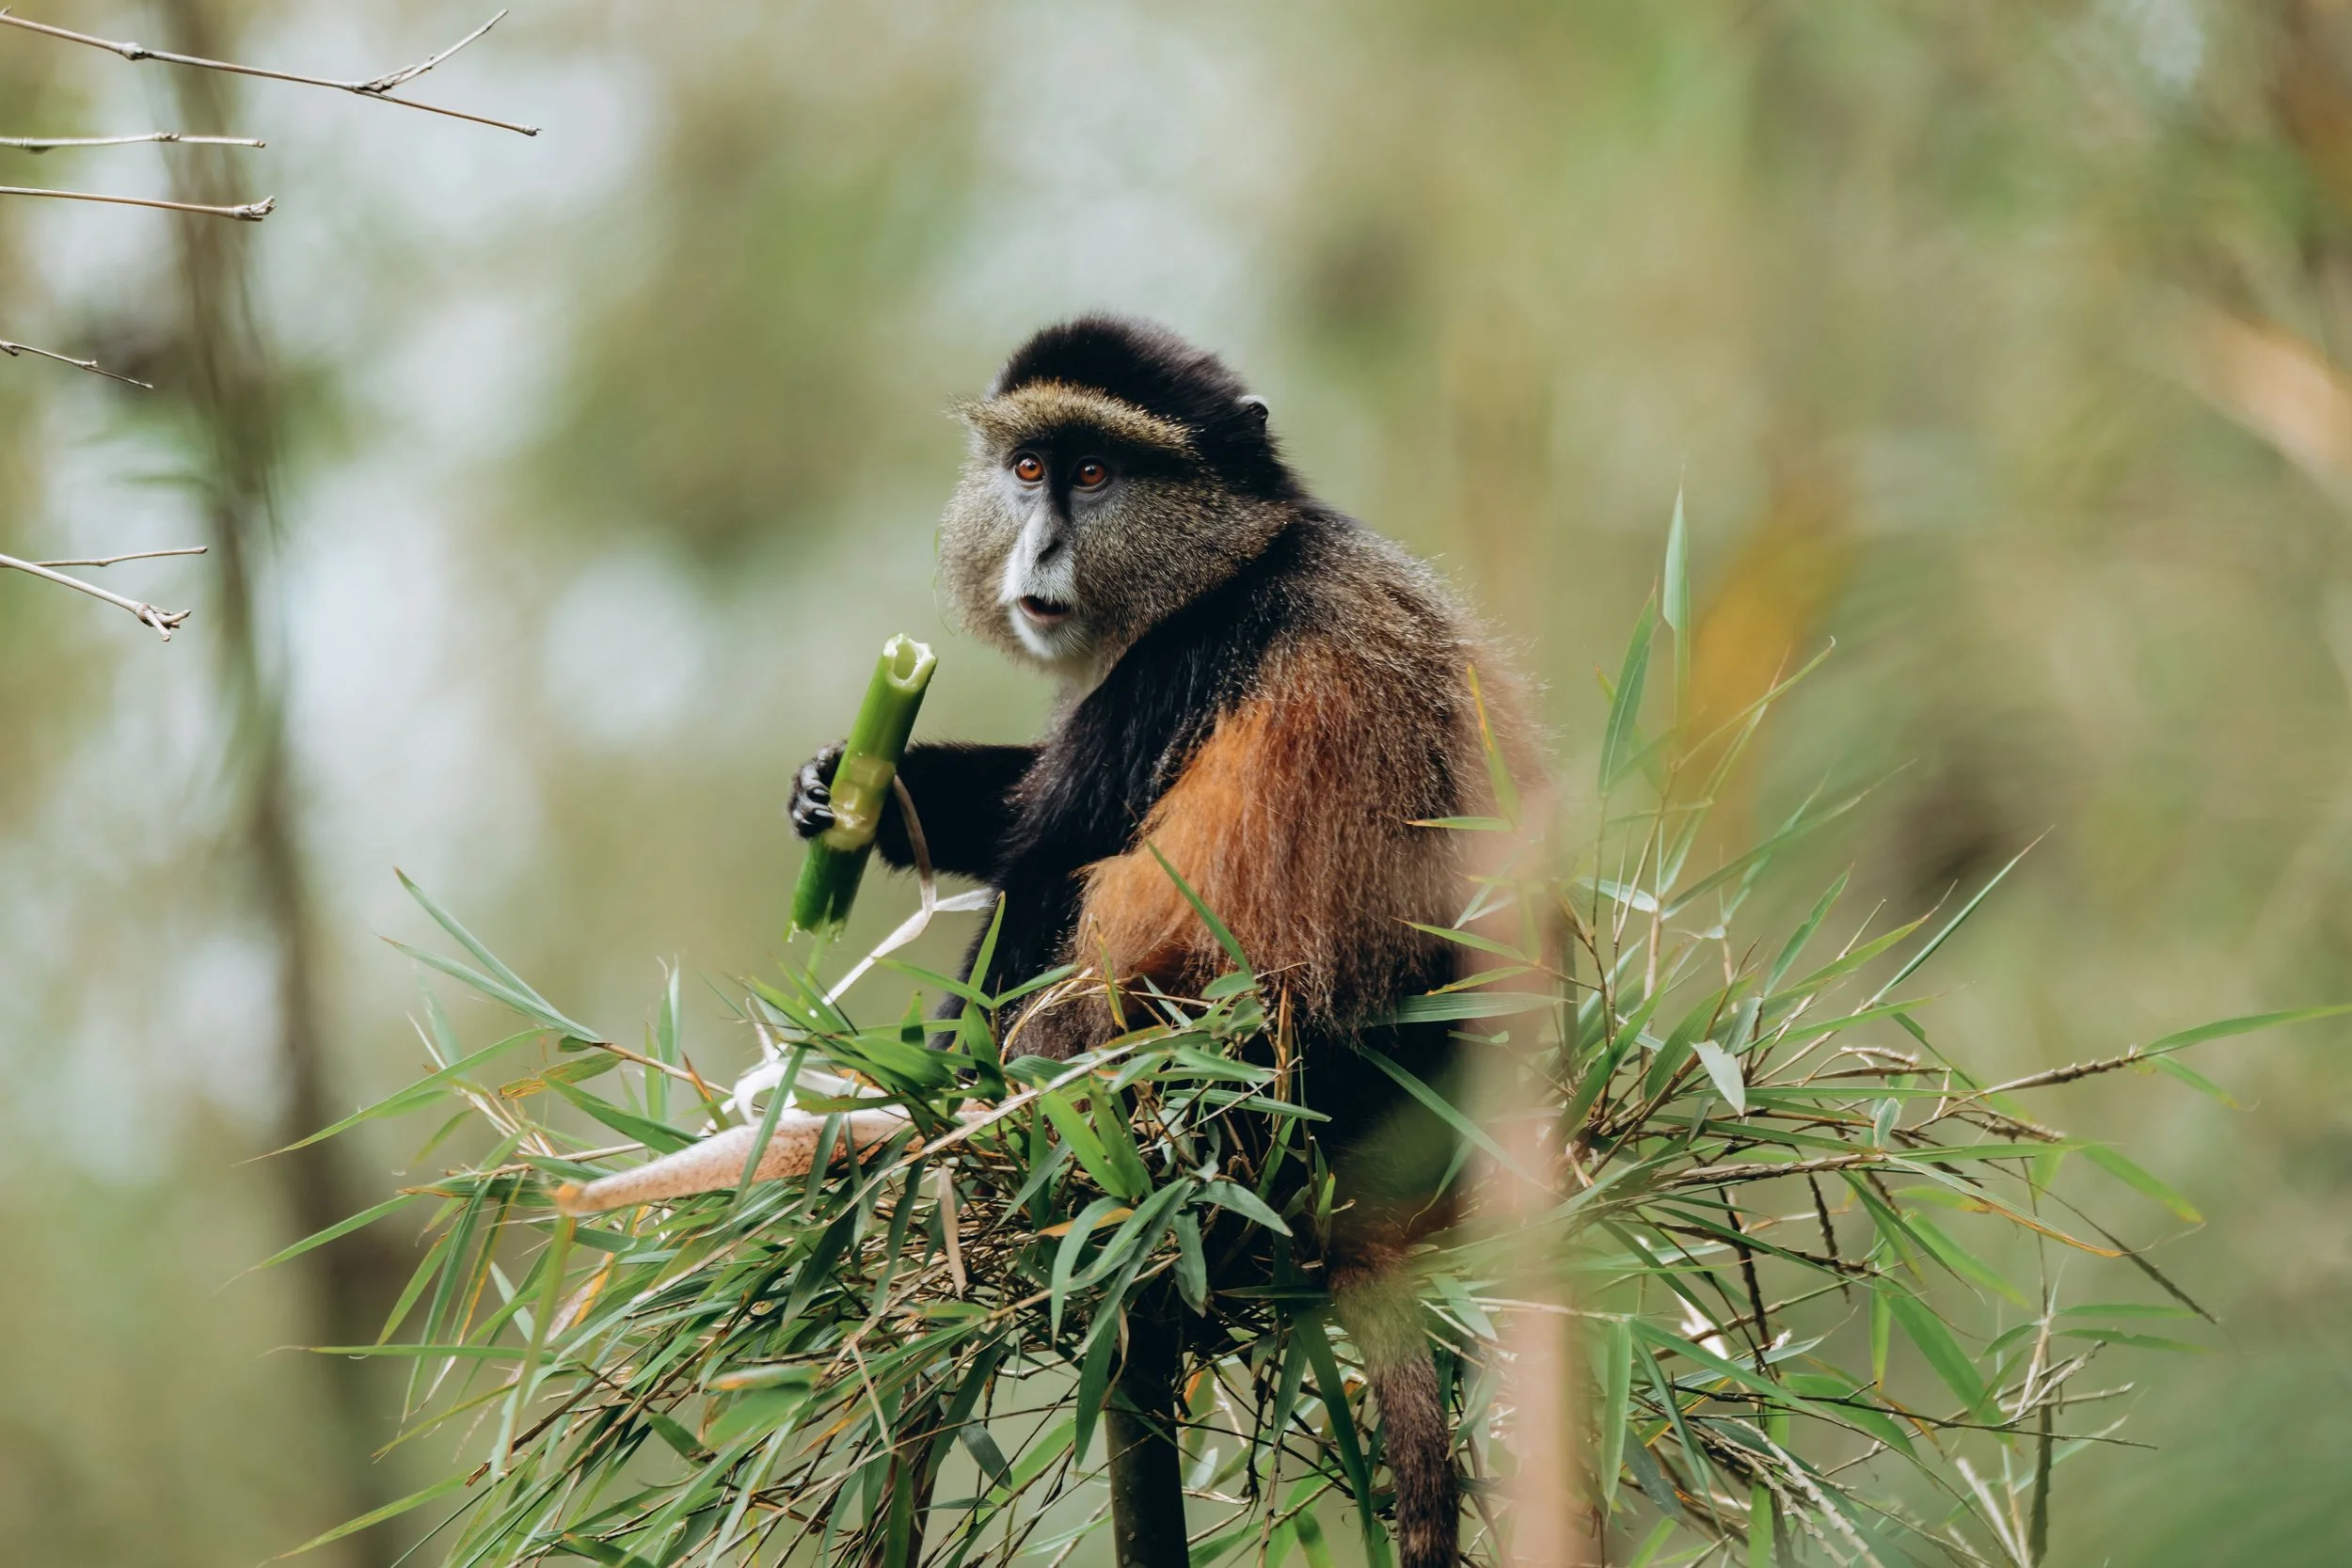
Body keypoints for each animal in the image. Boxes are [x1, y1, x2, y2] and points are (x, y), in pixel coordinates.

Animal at [784, 316, 1544, 1568]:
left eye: (1096, 473)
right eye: (1028, 468)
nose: (1039, 545)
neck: (1235, 556)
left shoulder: (1170, 668)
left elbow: (1040, 868)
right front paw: (863, 785)